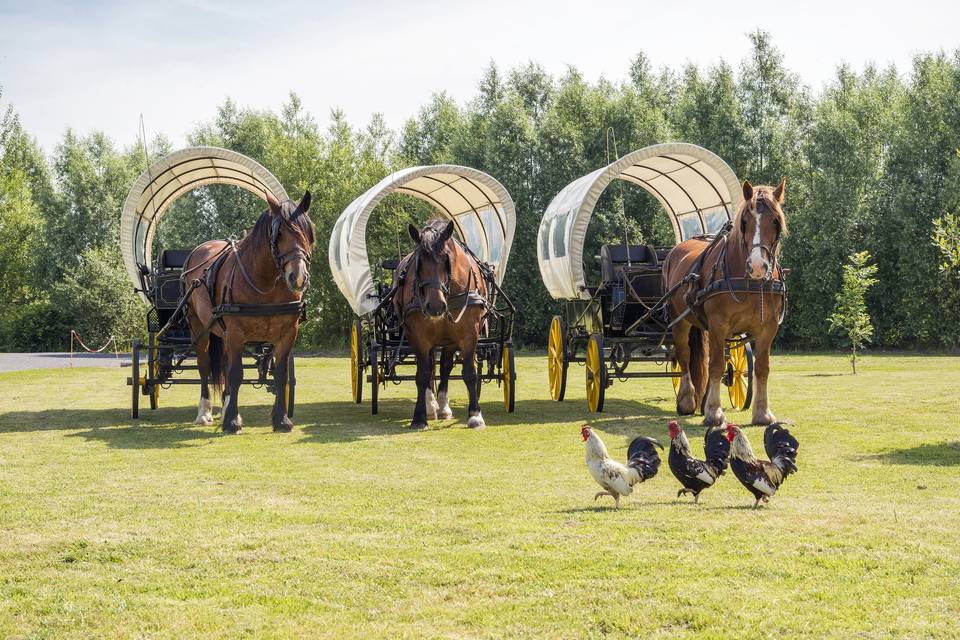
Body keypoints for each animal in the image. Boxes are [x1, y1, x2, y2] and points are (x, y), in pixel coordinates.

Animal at [182, 192, 314, 432]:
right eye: (279, 234)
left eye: (308, 232)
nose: (298, 277)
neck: (265, 282)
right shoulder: (236, 332)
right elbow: (236, 374)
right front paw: (232, 421)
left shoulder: (288, 333)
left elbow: (281, 375)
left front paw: (281, 419)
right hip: (199, 326)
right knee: (204, 366)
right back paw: (204, 411)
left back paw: (225, 406)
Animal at [396, 219, 488, 430]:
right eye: (419, 262)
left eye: (446, 259)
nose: (435, 306)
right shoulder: (419, 336)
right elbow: (422, 375)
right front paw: (419, 417)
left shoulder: (469, 333)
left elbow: (469, 373)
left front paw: (475, 415)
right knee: (430, 367)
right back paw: (431, 406)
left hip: (449, 340)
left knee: (445, 366)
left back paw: (443, 406)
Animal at [664, 180, 784, 428]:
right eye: (745, 221)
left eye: (776, 221)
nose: (757, 266)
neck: (750, 283)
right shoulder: (718, 325)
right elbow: (717, 366)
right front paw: (714, 412)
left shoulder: (768, 327)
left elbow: (762, 367)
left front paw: (762, 413)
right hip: (679, 321)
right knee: (684, 356)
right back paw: (687, 400)